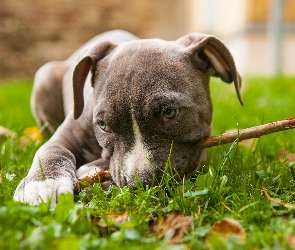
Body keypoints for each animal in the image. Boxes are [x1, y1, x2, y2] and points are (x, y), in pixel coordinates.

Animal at [13, 29, 244, 207]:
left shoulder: (199, 151)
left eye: (169, 112)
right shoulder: (65, 136)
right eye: (103, 125)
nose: (139, 182)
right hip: (44, 76)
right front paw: (43, 184)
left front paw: (95, 171)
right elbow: (51, 151)